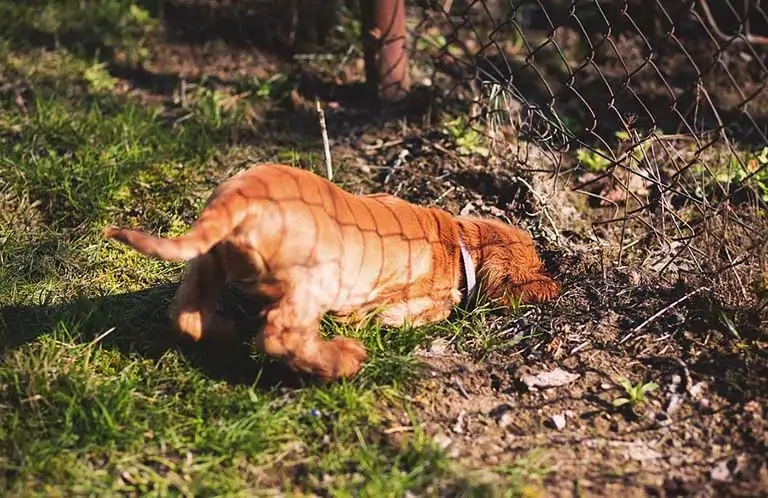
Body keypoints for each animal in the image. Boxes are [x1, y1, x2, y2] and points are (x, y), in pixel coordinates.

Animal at [105, 163, 560, 382]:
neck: (460, 240)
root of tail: (241, 197)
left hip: (207, 262)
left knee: (187, 315)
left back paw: (229, 334)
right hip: (313, 281)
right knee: (280, 335)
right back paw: (342, 361)